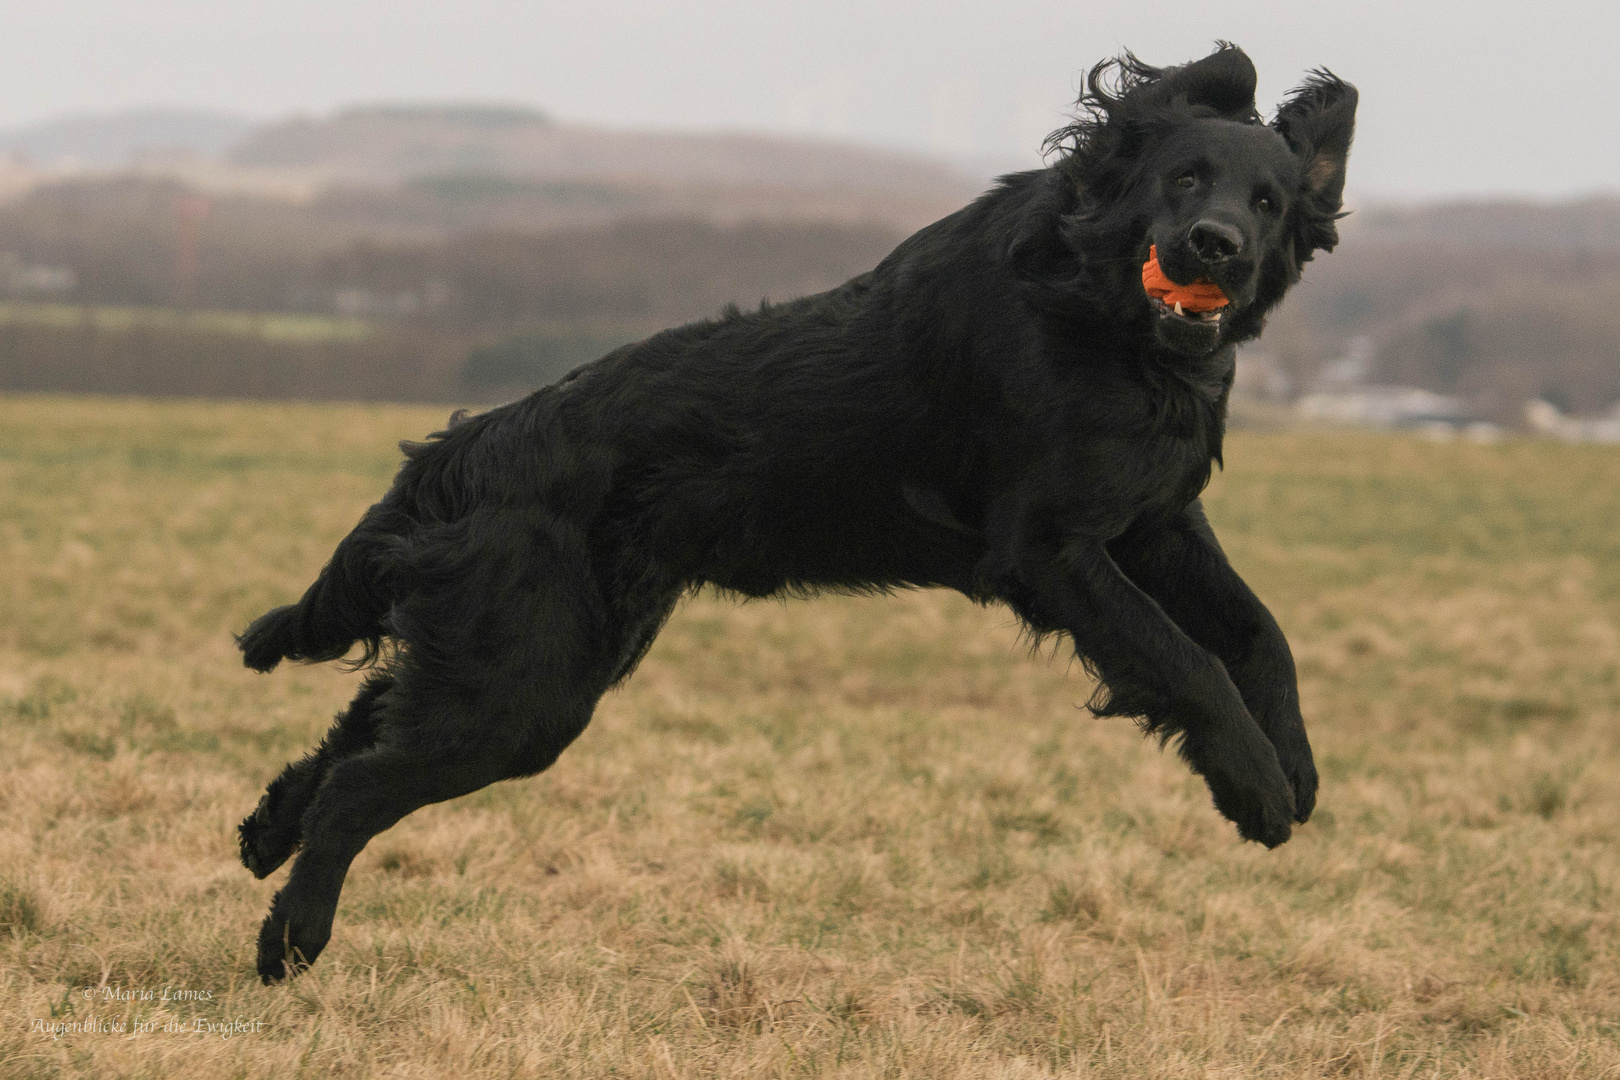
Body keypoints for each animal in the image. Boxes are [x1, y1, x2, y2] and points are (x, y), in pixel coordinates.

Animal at [236, 46, 1354, 984]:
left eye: (1269, 200)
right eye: (1183, 178)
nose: (1216, 246)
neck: (1096, 313)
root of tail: (472, 444)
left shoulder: (1154, 521)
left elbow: (1261, 630)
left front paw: (1295, 761)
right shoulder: (1050, 546)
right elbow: (1184, 658)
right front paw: (1255, 785)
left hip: (534, 657)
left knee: (357, 731)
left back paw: (263, 831)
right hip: (525, 689)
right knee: (359, 784)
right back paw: (293, 939)